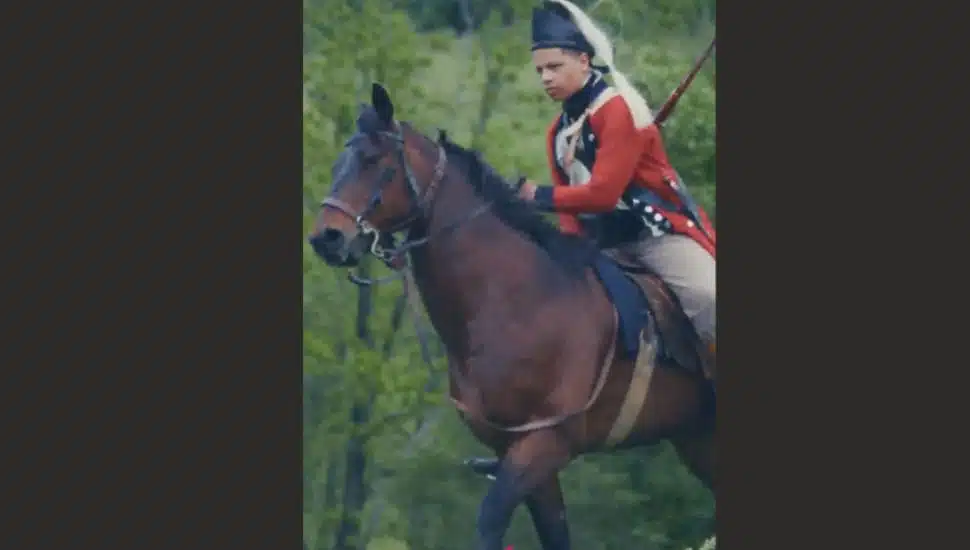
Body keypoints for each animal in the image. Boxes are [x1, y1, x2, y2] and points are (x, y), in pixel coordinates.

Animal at [308, 83, 715, 550]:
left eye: (374, 160)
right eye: (338, 163)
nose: (326, 238)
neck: (517, 300)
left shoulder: (545, 442)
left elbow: (490, 521)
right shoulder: (517, 452)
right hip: (698, 443)